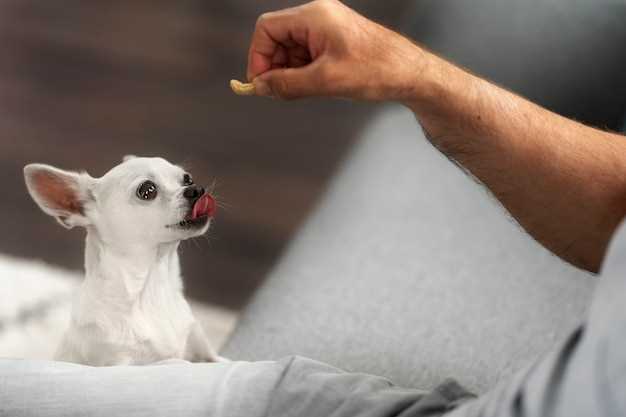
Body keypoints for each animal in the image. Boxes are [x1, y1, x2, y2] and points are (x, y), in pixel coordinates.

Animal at [22, 156, 222, 364]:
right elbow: (172, 361)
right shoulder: (121, 362)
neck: (153, 289)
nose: (196, 189)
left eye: (188, 179)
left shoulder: (205, 351)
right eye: (147, 190)